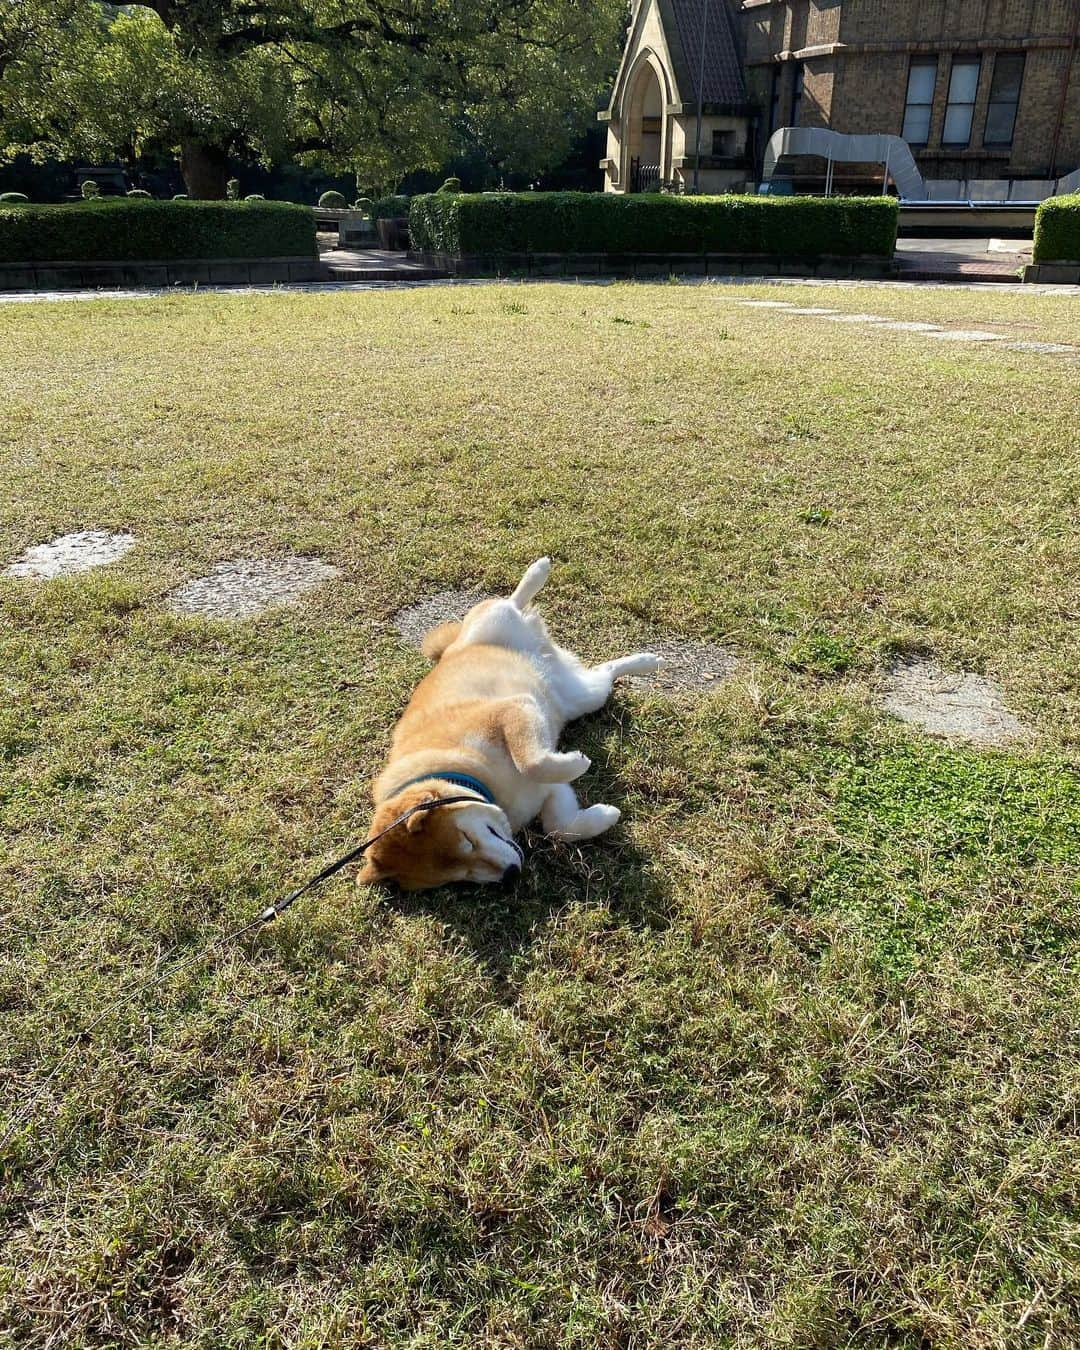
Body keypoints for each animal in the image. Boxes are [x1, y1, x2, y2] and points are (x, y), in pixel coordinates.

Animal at [361, 553, 658, 891]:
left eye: (467, 839)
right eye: (458, 879)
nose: (511, 874)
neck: (465, 774)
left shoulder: (514, 710)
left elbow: (533, 762)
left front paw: (577, 763)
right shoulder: (550, 791)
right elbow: (559, 827)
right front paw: (604, 816)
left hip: (494, 622)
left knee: (511, 600)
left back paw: (539, 571)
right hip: (584, 696)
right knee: (606, 671)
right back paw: (644, 662)